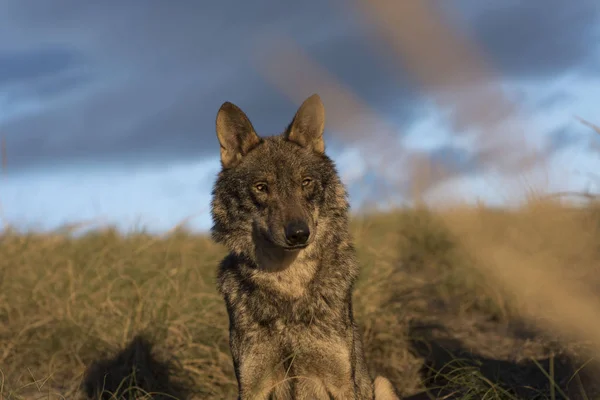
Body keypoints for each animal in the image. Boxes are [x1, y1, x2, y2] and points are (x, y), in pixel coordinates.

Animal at [210, 94, 398, 400]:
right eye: (261, 187)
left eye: (306, 183)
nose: (299, 234)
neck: (289, 282)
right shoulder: (253, 384)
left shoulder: (341, 382)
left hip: (381, 383)